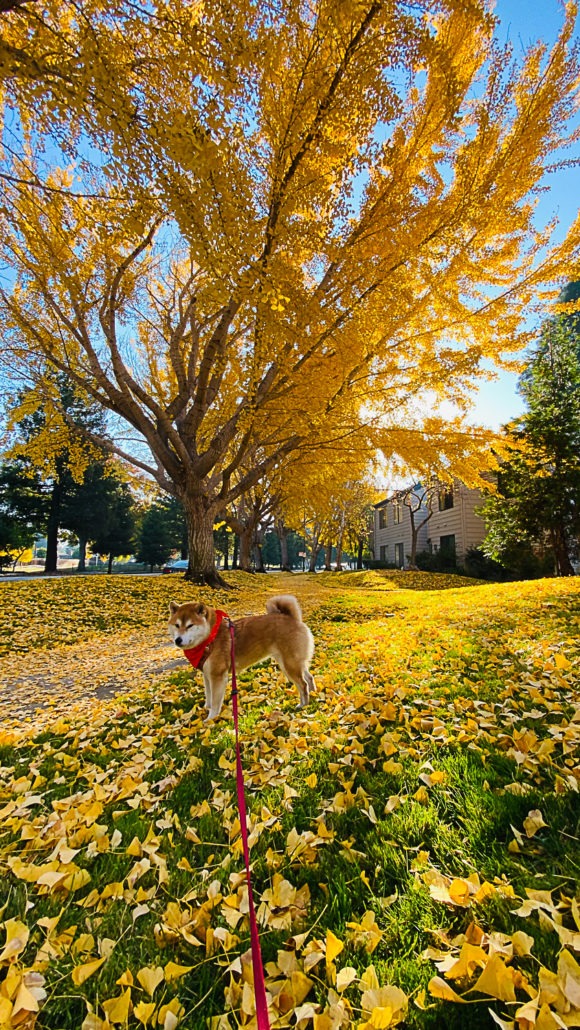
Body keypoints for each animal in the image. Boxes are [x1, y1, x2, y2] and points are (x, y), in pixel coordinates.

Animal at [167, 593, 315, 721]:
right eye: (177, 625)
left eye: (190, 625)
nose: (178, 640)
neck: (210, 638)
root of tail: (292, 618)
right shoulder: (207, 675)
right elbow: (208, 696)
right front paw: (205, 709)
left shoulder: (217, 677)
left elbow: (215, 701)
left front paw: (211, 719)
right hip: (292, 663)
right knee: (309, 677)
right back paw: (314, 694)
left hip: (289, 665)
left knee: (303, 684)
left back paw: (303, 704)